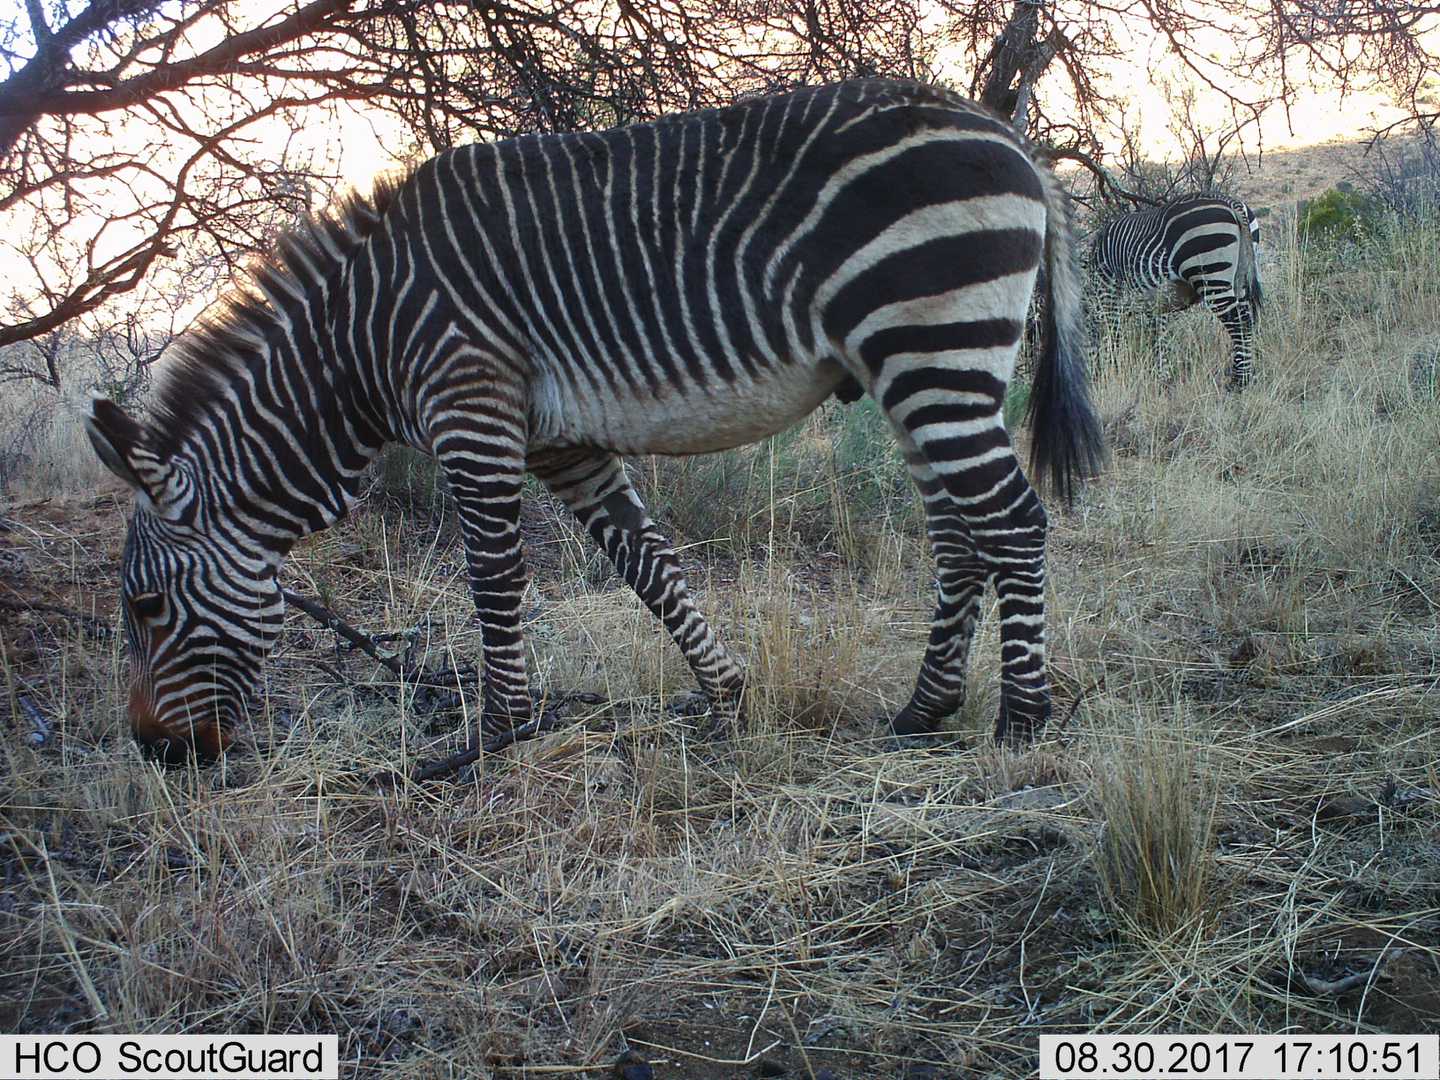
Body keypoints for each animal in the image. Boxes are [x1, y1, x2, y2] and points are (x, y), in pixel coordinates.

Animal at [81, 78, 1100, 771]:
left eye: (146, 608)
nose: (156, 751)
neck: (358, 338)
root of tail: (1005, 132)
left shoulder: (472, 406)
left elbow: (494, 581)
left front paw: (493, 739)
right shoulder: (559, 444)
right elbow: (648, 567)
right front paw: (727, 699)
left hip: (932, 344)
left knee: (1013, 522)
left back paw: (1021, 721)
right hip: (918, 369)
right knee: (961, 535)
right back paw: (923, 711)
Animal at [1088, 194, 1261, 388]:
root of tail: (1233, 204)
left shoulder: (1109, 295)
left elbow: (1113, 338)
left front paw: (1115, 371)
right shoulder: (1157, 302)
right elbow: (1159, 338)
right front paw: (1161, 377)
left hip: (1212, 276)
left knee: (1240, 323)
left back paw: (1239, 381)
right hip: (1241, 279)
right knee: (1247, 320)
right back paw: (1246, 376)